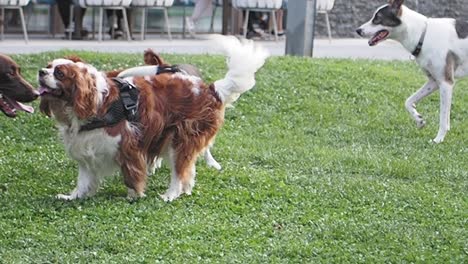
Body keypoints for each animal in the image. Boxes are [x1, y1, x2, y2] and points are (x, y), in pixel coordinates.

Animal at [356, 0, 466, 142]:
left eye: (377, 18)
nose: (358, 30)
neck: (422, 35)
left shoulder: (446, 83)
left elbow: (442, 118)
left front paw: (438, 140)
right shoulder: (434, 82)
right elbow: (408, 101)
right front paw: (418, 119)